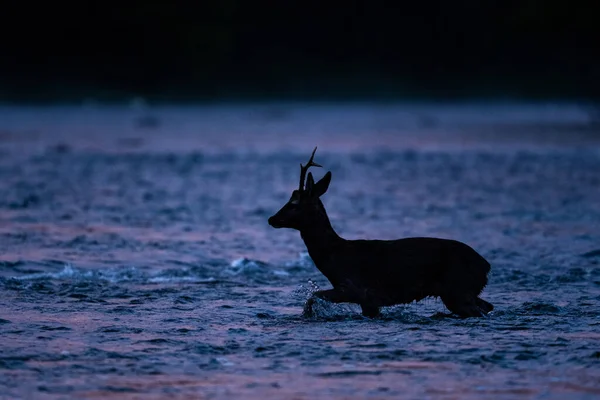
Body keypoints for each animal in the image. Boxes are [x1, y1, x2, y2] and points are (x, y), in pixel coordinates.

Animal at [268, 147, 492, 318]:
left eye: (294, 204)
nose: (272, 219)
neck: (335, 256)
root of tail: (486, 265)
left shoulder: (359, 290)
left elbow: (312, 297)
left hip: (457, 288)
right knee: (488, 306)